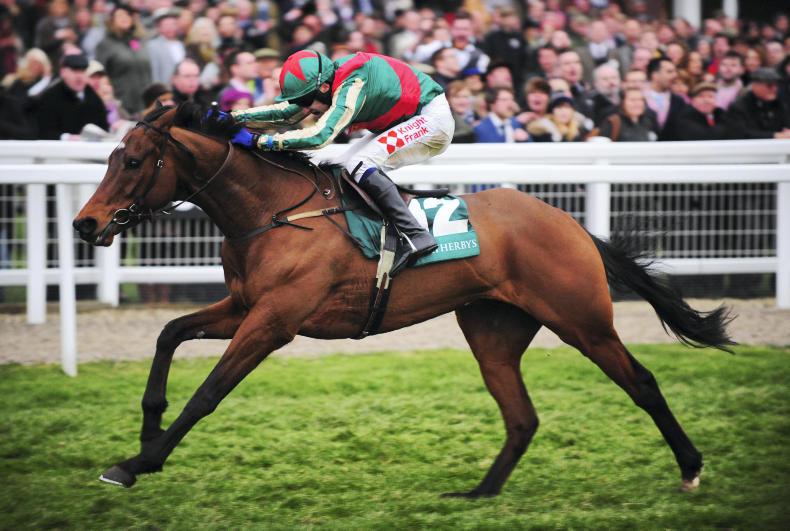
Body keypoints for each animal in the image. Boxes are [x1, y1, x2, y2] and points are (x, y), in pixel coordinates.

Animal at [73, 102, 733, 496]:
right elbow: (169, 333)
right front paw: (145, 432)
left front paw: (138, 462)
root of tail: (570, 223)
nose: (85, 224)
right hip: (493, 330)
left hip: (582, 320)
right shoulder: (243, 306)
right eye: (109, 156)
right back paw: (479, 493)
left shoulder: (274, 321)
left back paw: (691, 467)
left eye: (133, 160)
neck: (272, 211)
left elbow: (208, 393)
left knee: (641, 381)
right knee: (522, 416)